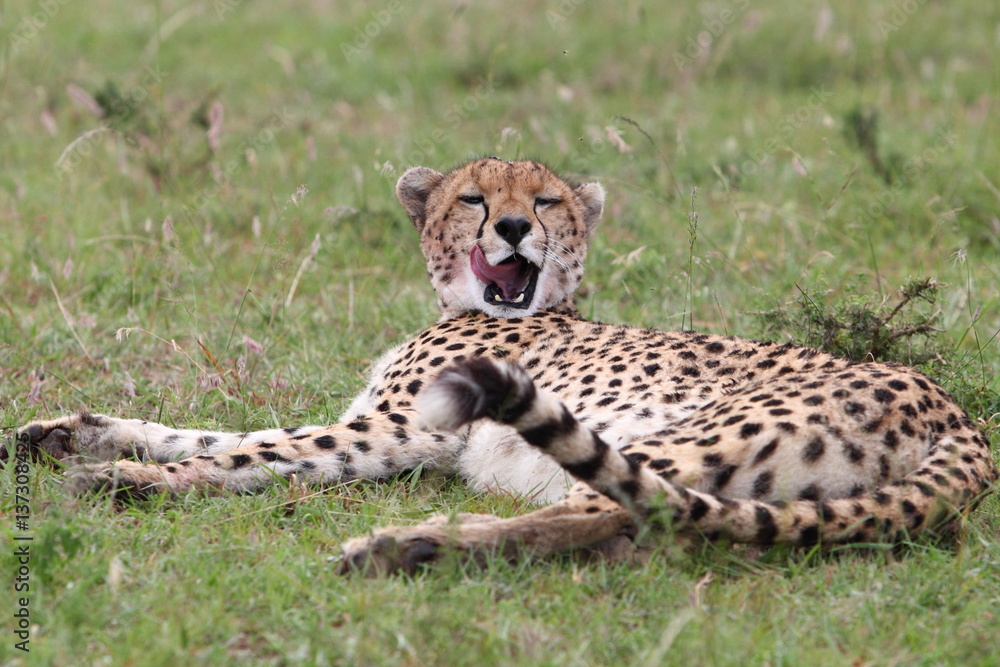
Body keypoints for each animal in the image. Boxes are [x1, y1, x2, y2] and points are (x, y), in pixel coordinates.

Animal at [15, 157, 997, 574]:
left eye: (548, 200)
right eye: (476, 198)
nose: (516, 228)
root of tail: (954, 411)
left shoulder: (399, 429)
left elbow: (253, 450)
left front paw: (130, 479)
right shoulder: (389, 424)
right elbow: (228, 433)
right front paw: (73, 432)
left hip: (686, 439)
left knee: (614, 511)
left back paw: (407, 544)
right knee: (640, 526)